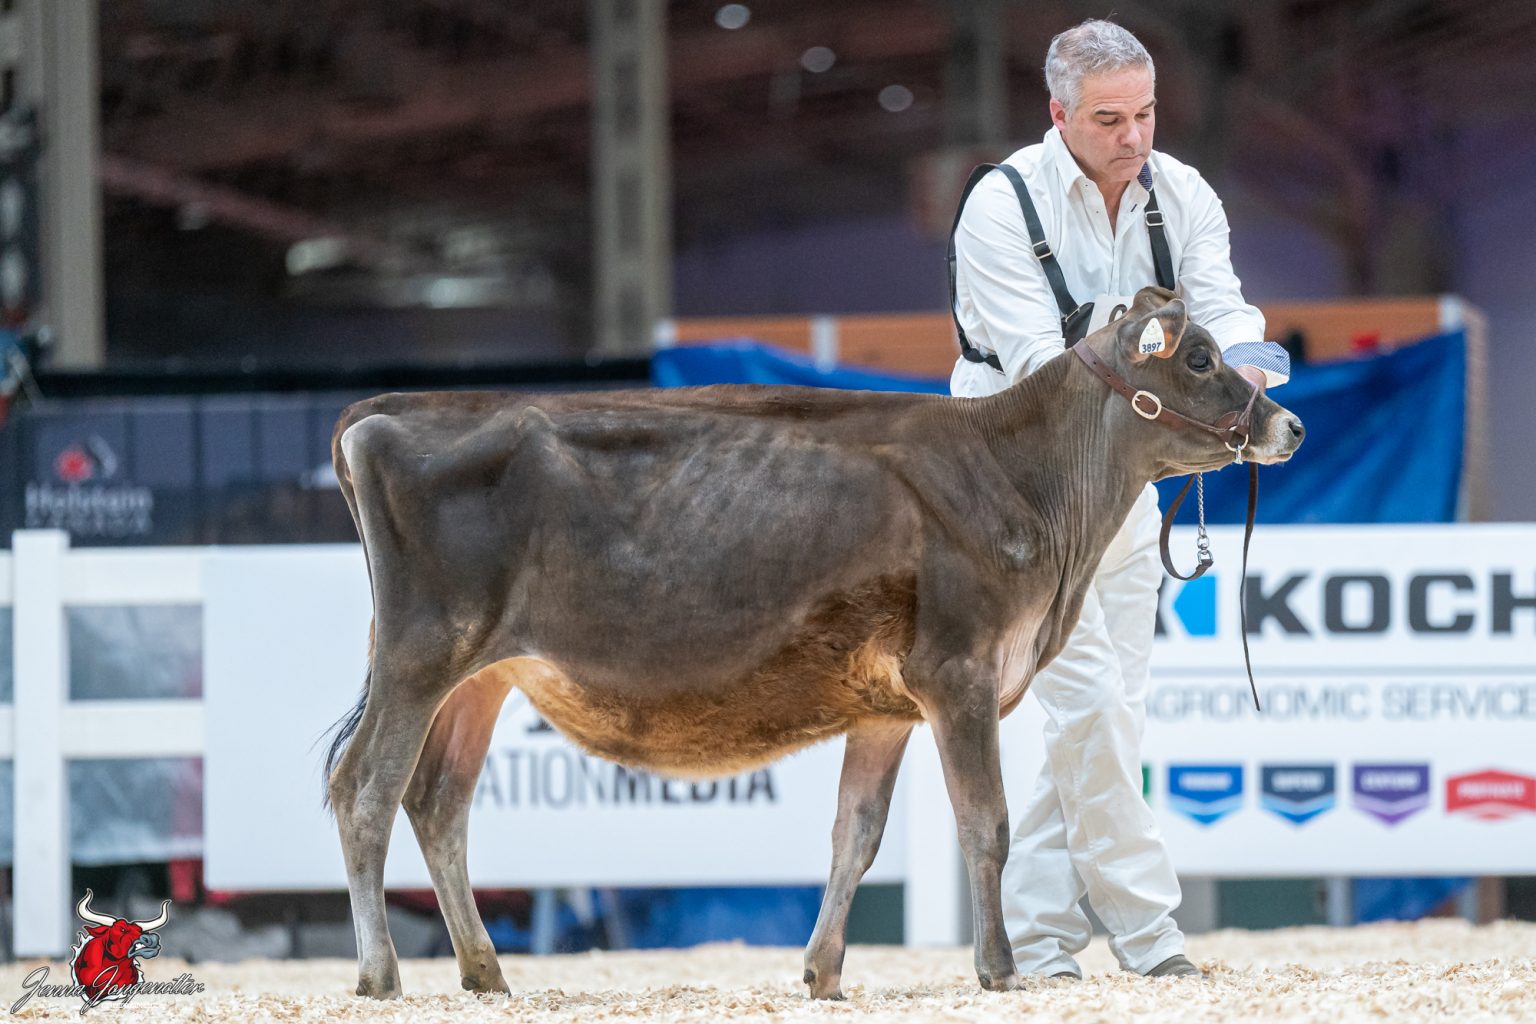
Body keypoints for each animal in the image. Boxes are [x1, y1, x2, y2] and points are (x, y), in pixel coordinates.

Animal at [322, 287, 1304, 1000]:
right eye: (1201, 357)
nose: (1287, 424)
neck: (1022, 480)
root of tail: (387, 412)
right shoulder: (959, 672)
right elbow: (985, 825)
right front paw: (999, 971)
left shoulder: (888, 706)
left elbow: (855, 836)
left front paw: (823, 973)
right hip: (420, 653)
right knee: (365, 790)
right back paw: (380, 974)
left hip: (479, 675)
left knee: (438, 804)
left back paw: (486, 973)